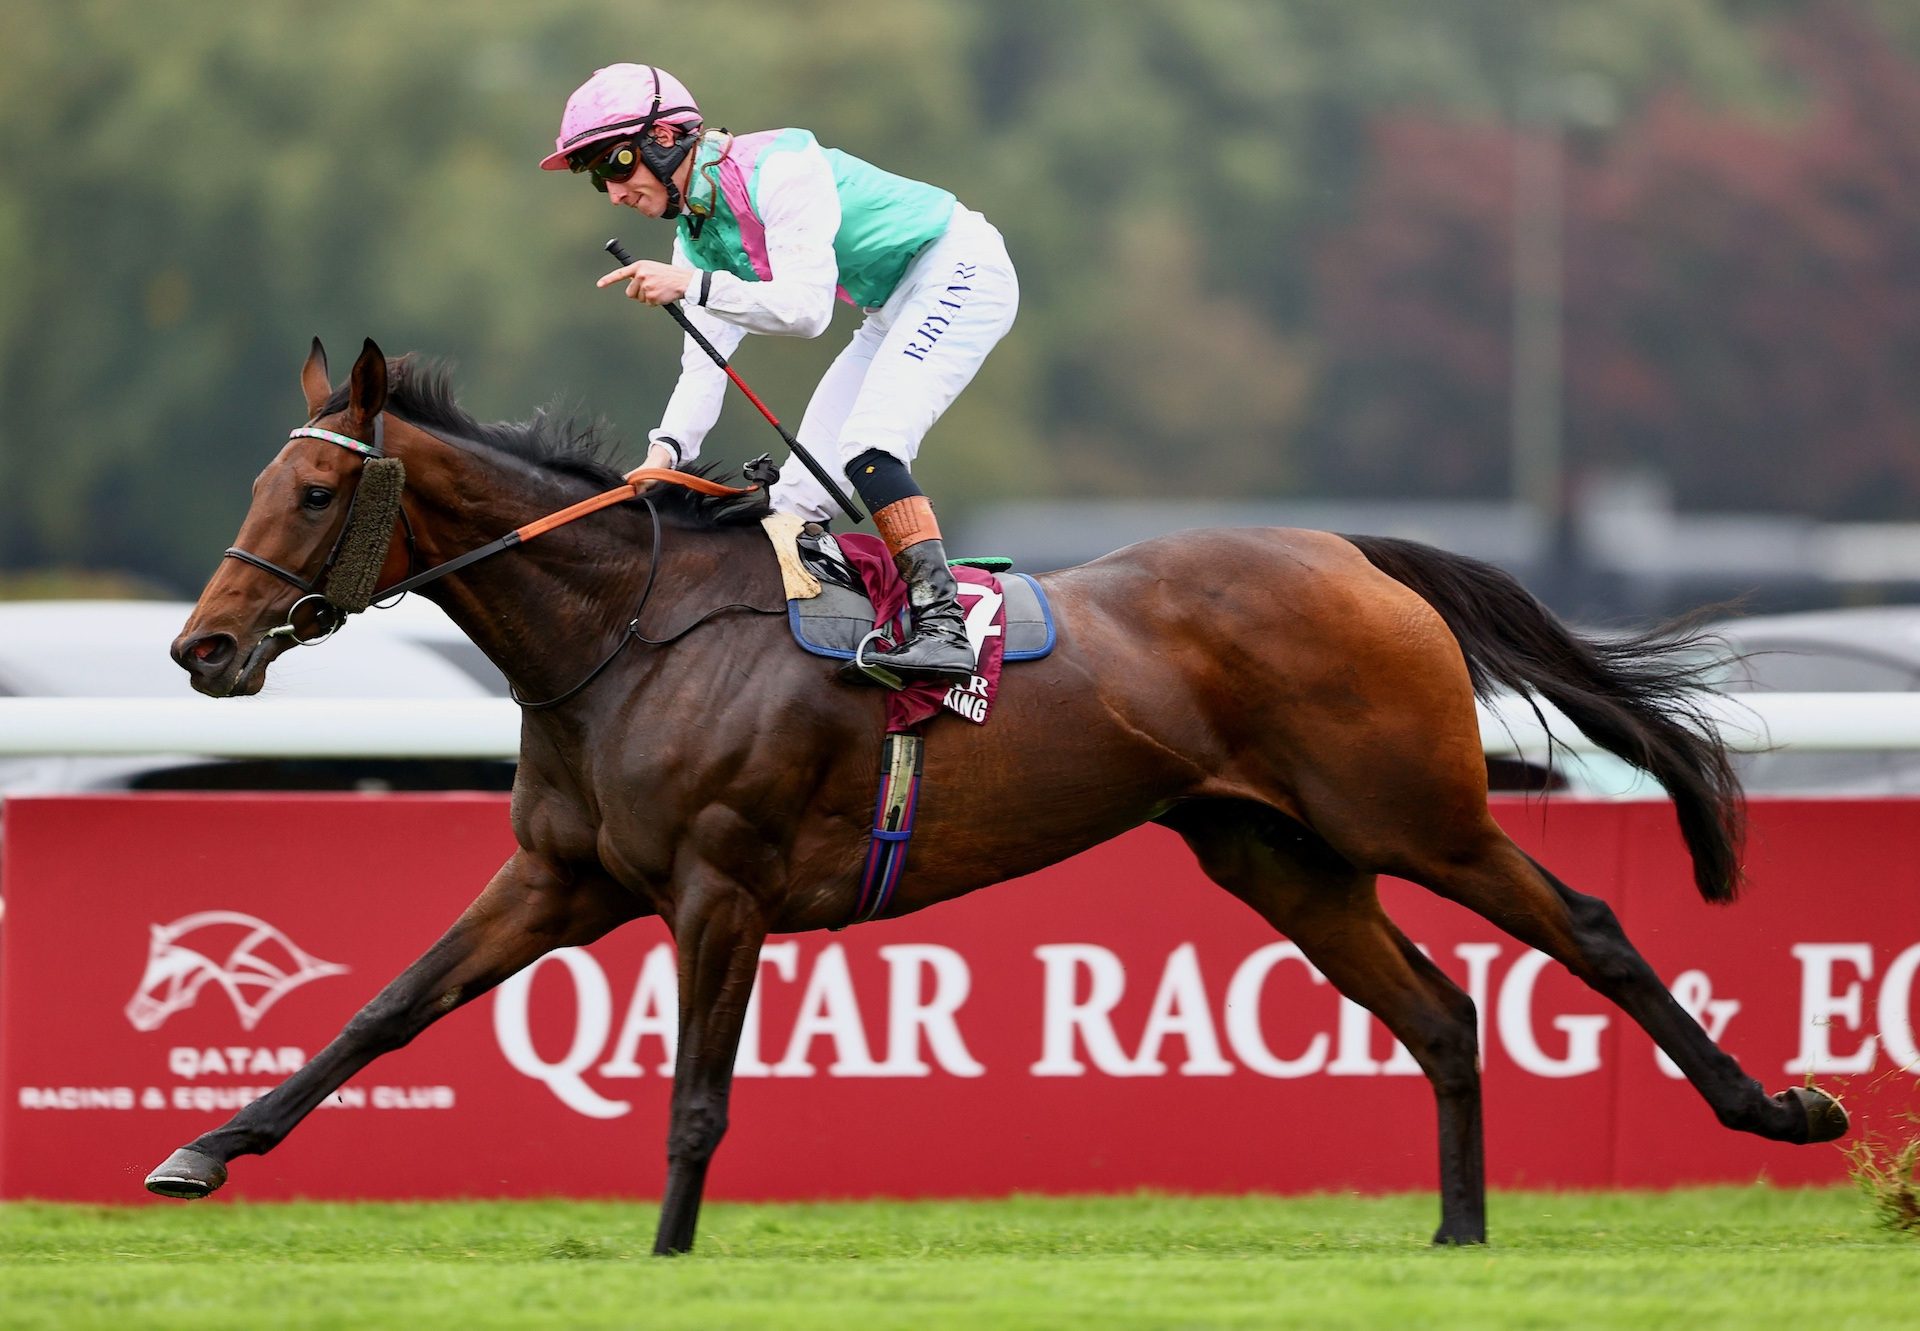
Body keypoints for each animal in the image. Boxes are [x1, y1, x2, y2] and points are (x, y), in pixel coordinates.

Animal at [157, 338, 1850, 1252]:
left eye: (316, 488)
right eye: (257, 479)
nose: (201, 645)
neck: (627, 632)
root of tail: (1353, 549)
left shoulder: (717, 887)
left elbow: (697, 1097)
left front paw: (666, 1251)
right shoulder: (560, 879)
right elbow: (384, 1007)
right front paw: (204, 1149)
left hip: (1411, 812)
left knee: (1592, 925)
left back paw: (1776, 1105)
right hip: (1280, 854)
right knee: (1441, 1012)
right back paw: (1458, 1231)